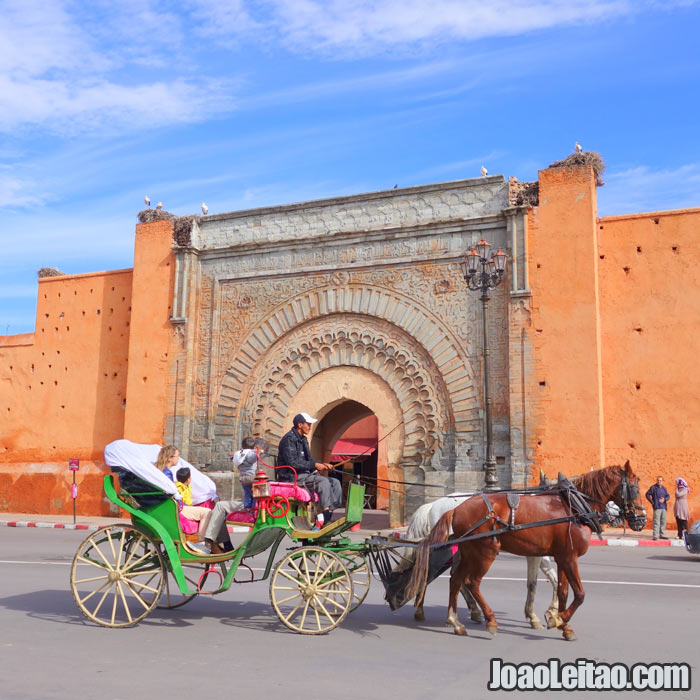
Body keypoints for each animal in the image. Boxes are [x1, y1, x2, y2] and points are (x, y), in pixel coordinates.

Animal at [402, 492, 556, 628]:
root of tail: (433, 505)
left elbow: (553, 579)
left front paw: (552, 613)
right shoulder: (535, 554)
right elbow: (534, 584)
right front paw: (535, 616)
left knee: (454, 576)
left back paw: (471, 610)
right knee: (431, 570)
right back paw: (422, 610)